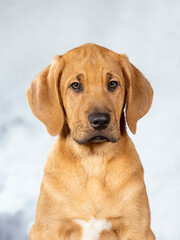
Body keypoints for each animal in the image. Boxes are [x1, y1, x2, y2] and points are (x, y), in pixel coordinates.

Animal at [26, 43, 155, 240]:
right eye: (76, 85)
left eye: (112, 83)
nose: (100, 120)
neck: (93, 160)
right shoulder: (48, 228)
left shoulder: (137, 227)